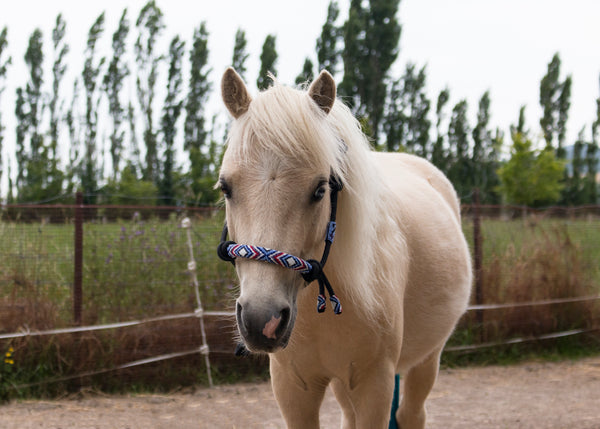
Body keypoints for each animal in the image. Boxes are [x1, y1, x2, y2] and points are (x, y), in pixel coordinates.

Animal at [218, 67, 472, 428]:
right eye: (226, 187)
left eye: (320, 190)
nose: (261, 320)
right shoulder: (293, 387)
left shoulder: (374, 385)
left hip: (427, 358)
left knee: (411, 413)